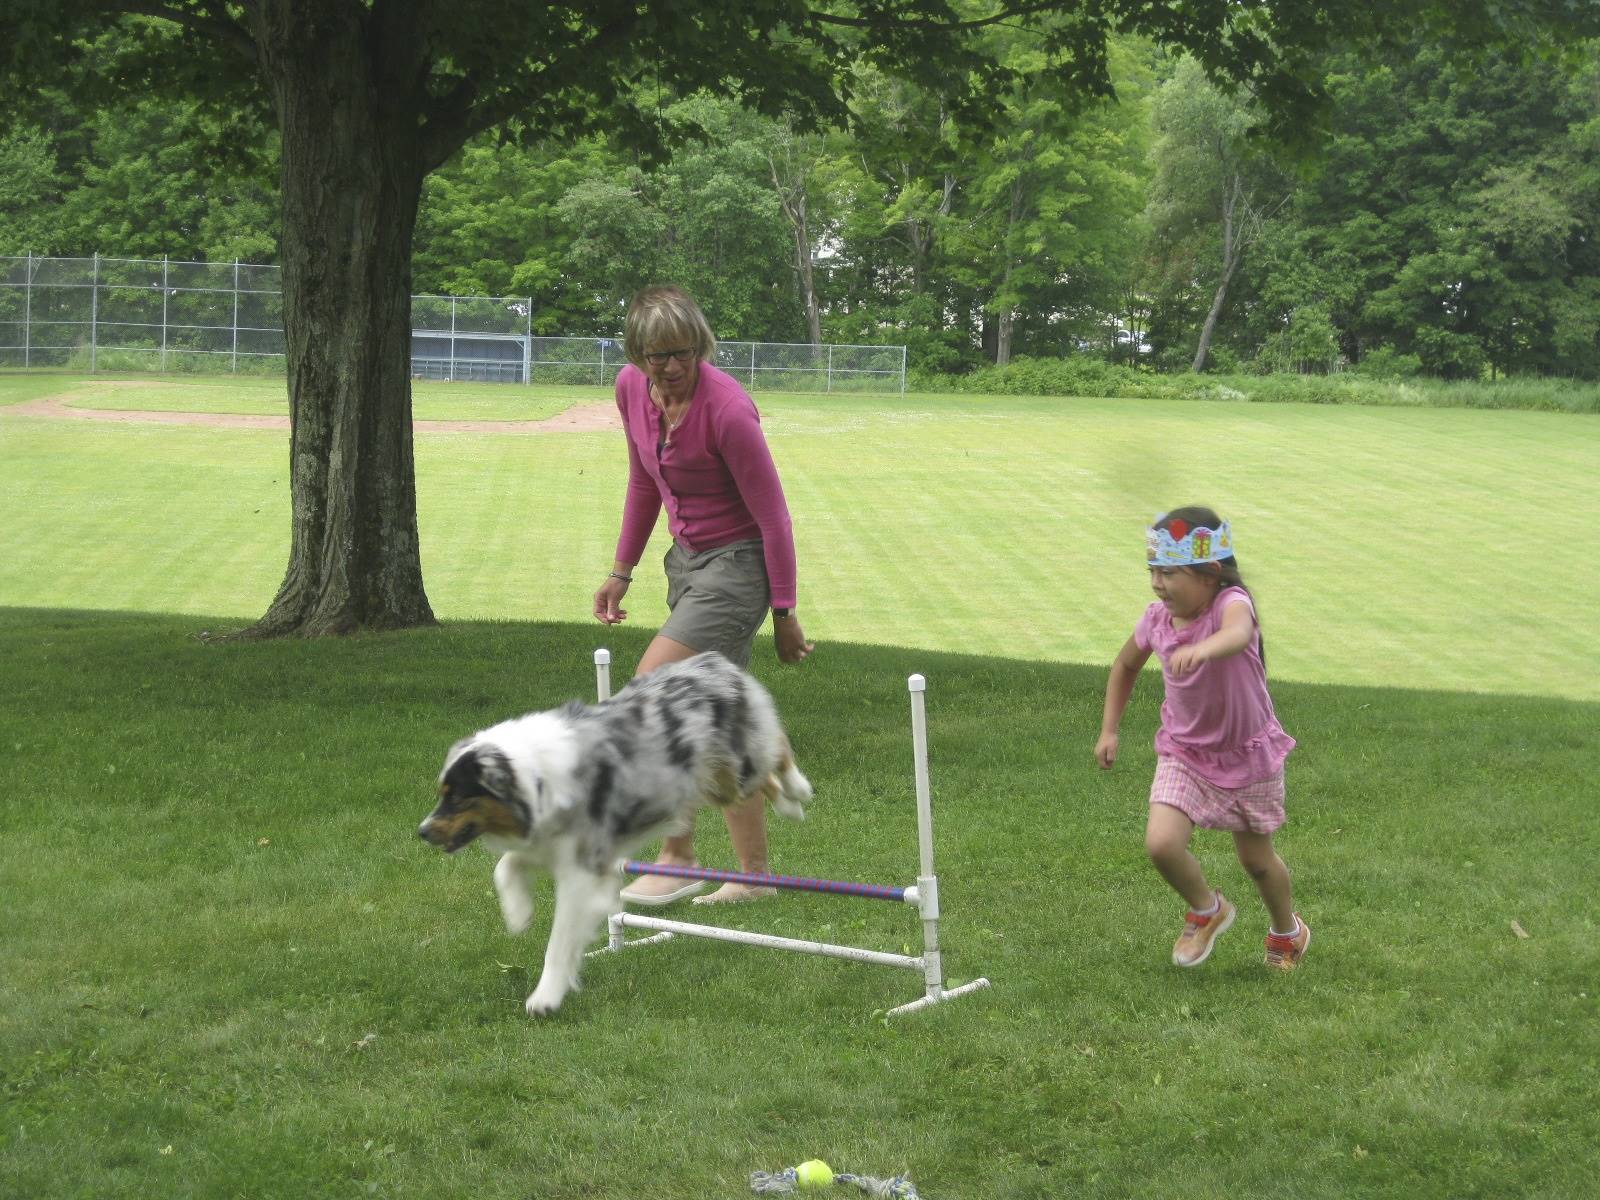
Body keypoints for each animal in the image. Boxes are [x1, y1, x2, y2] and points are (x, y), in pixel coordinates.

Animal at [419, 652, 812, 1017]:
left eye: (457, 796)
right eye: (442, 793)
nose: (422, 832)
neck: (536, 779)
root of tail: (713, 660)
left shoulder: (582, 871)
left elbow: (559, 941)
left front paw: (545, 998)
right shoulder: (546, 842)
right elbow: (505, 865)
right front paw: (519, 914)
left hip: (737, 761)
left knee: (776, 746)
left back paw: (798, 790)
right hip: (716, 783)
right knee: (760, 778)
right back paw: (789, 805)